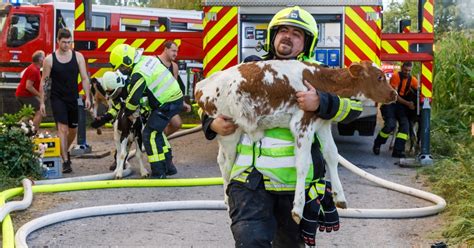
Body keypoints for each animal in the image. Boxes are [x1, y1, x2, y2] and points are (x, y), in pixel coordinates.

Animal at [194, 59, 398, 223]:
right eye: (380, 77)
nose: (394, 94)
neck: (320, 80)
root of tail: (202, 85)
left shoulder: (322, 123)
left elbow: (332, 156)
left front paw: (340, 196)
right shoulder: (302, 124)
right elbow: (302, 164)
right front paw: (298, 208)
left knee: (222, 160)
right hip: (228, 130)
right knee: (226, 164)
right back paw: (228, 202)